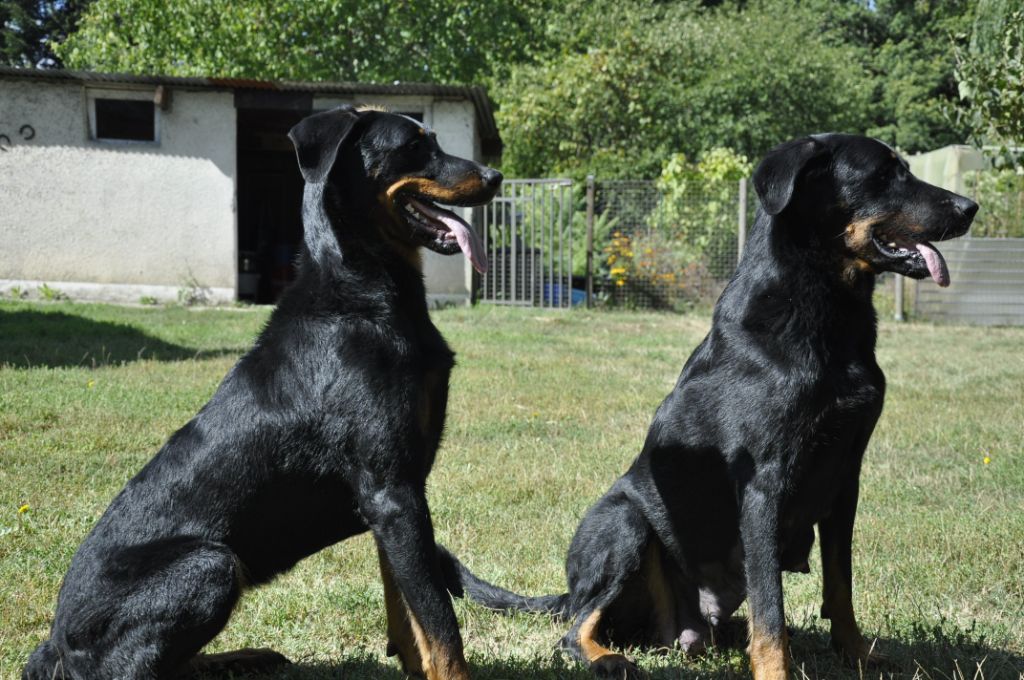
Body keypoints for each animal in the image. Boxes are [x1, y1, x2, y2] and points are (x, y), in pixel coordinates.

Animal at [22, 106, 501, 680]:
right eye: (414, 145)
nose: (496, 176)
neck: (363, 292)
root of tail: (54, 646)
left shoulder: (393, 497)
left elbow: (410, 619)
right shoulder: (392, 492)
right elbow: (440, 624)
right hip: (210, 565)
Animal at [438, 134, 974, 680]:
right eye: (884, 174)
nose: (969, 207)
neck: (826, 312)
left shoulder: (845, 477)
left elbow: (839, 586)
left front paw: (857, 655)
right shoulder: (764, 484)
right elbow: (771, 611)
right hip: (625, 522)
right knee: (574, 630)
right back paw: (608, 658)